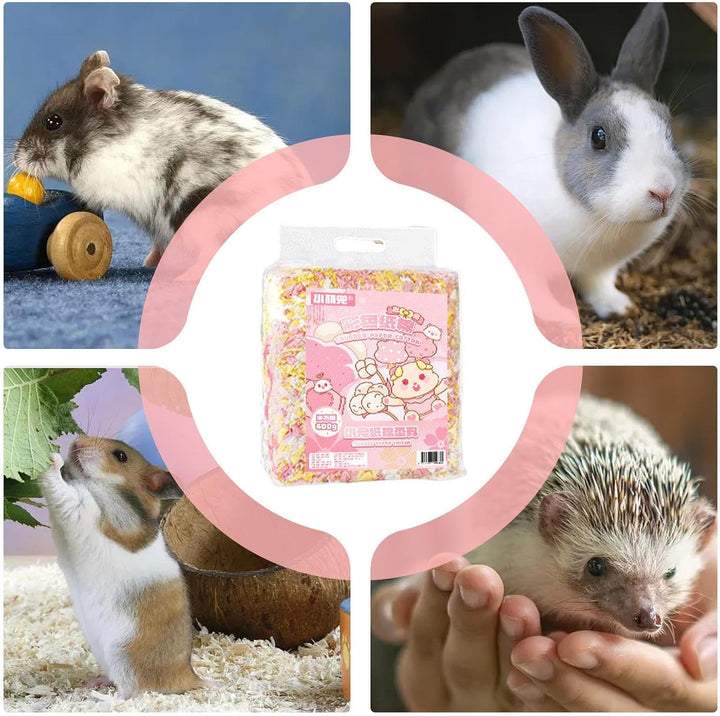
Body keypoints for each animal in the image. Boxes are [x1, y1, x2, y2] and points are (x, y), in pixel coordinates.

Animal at [39, 436, 203, 698]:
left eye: (121, 456)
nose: (76, 442)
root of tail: (189, 678)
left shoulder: (83, 509)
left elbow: (63, 490)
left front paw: (53, 458)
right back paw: (96, 683)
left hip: (124, 657)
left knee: (131, 692)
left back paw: (101, 698)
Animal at [404, 4, 690, 318]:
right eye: (599, 137)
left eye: (668, 124)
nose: (663, 190)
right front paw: (561, 316)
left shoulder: (600, 270)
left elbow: (598, 285)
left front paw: (618, 307)